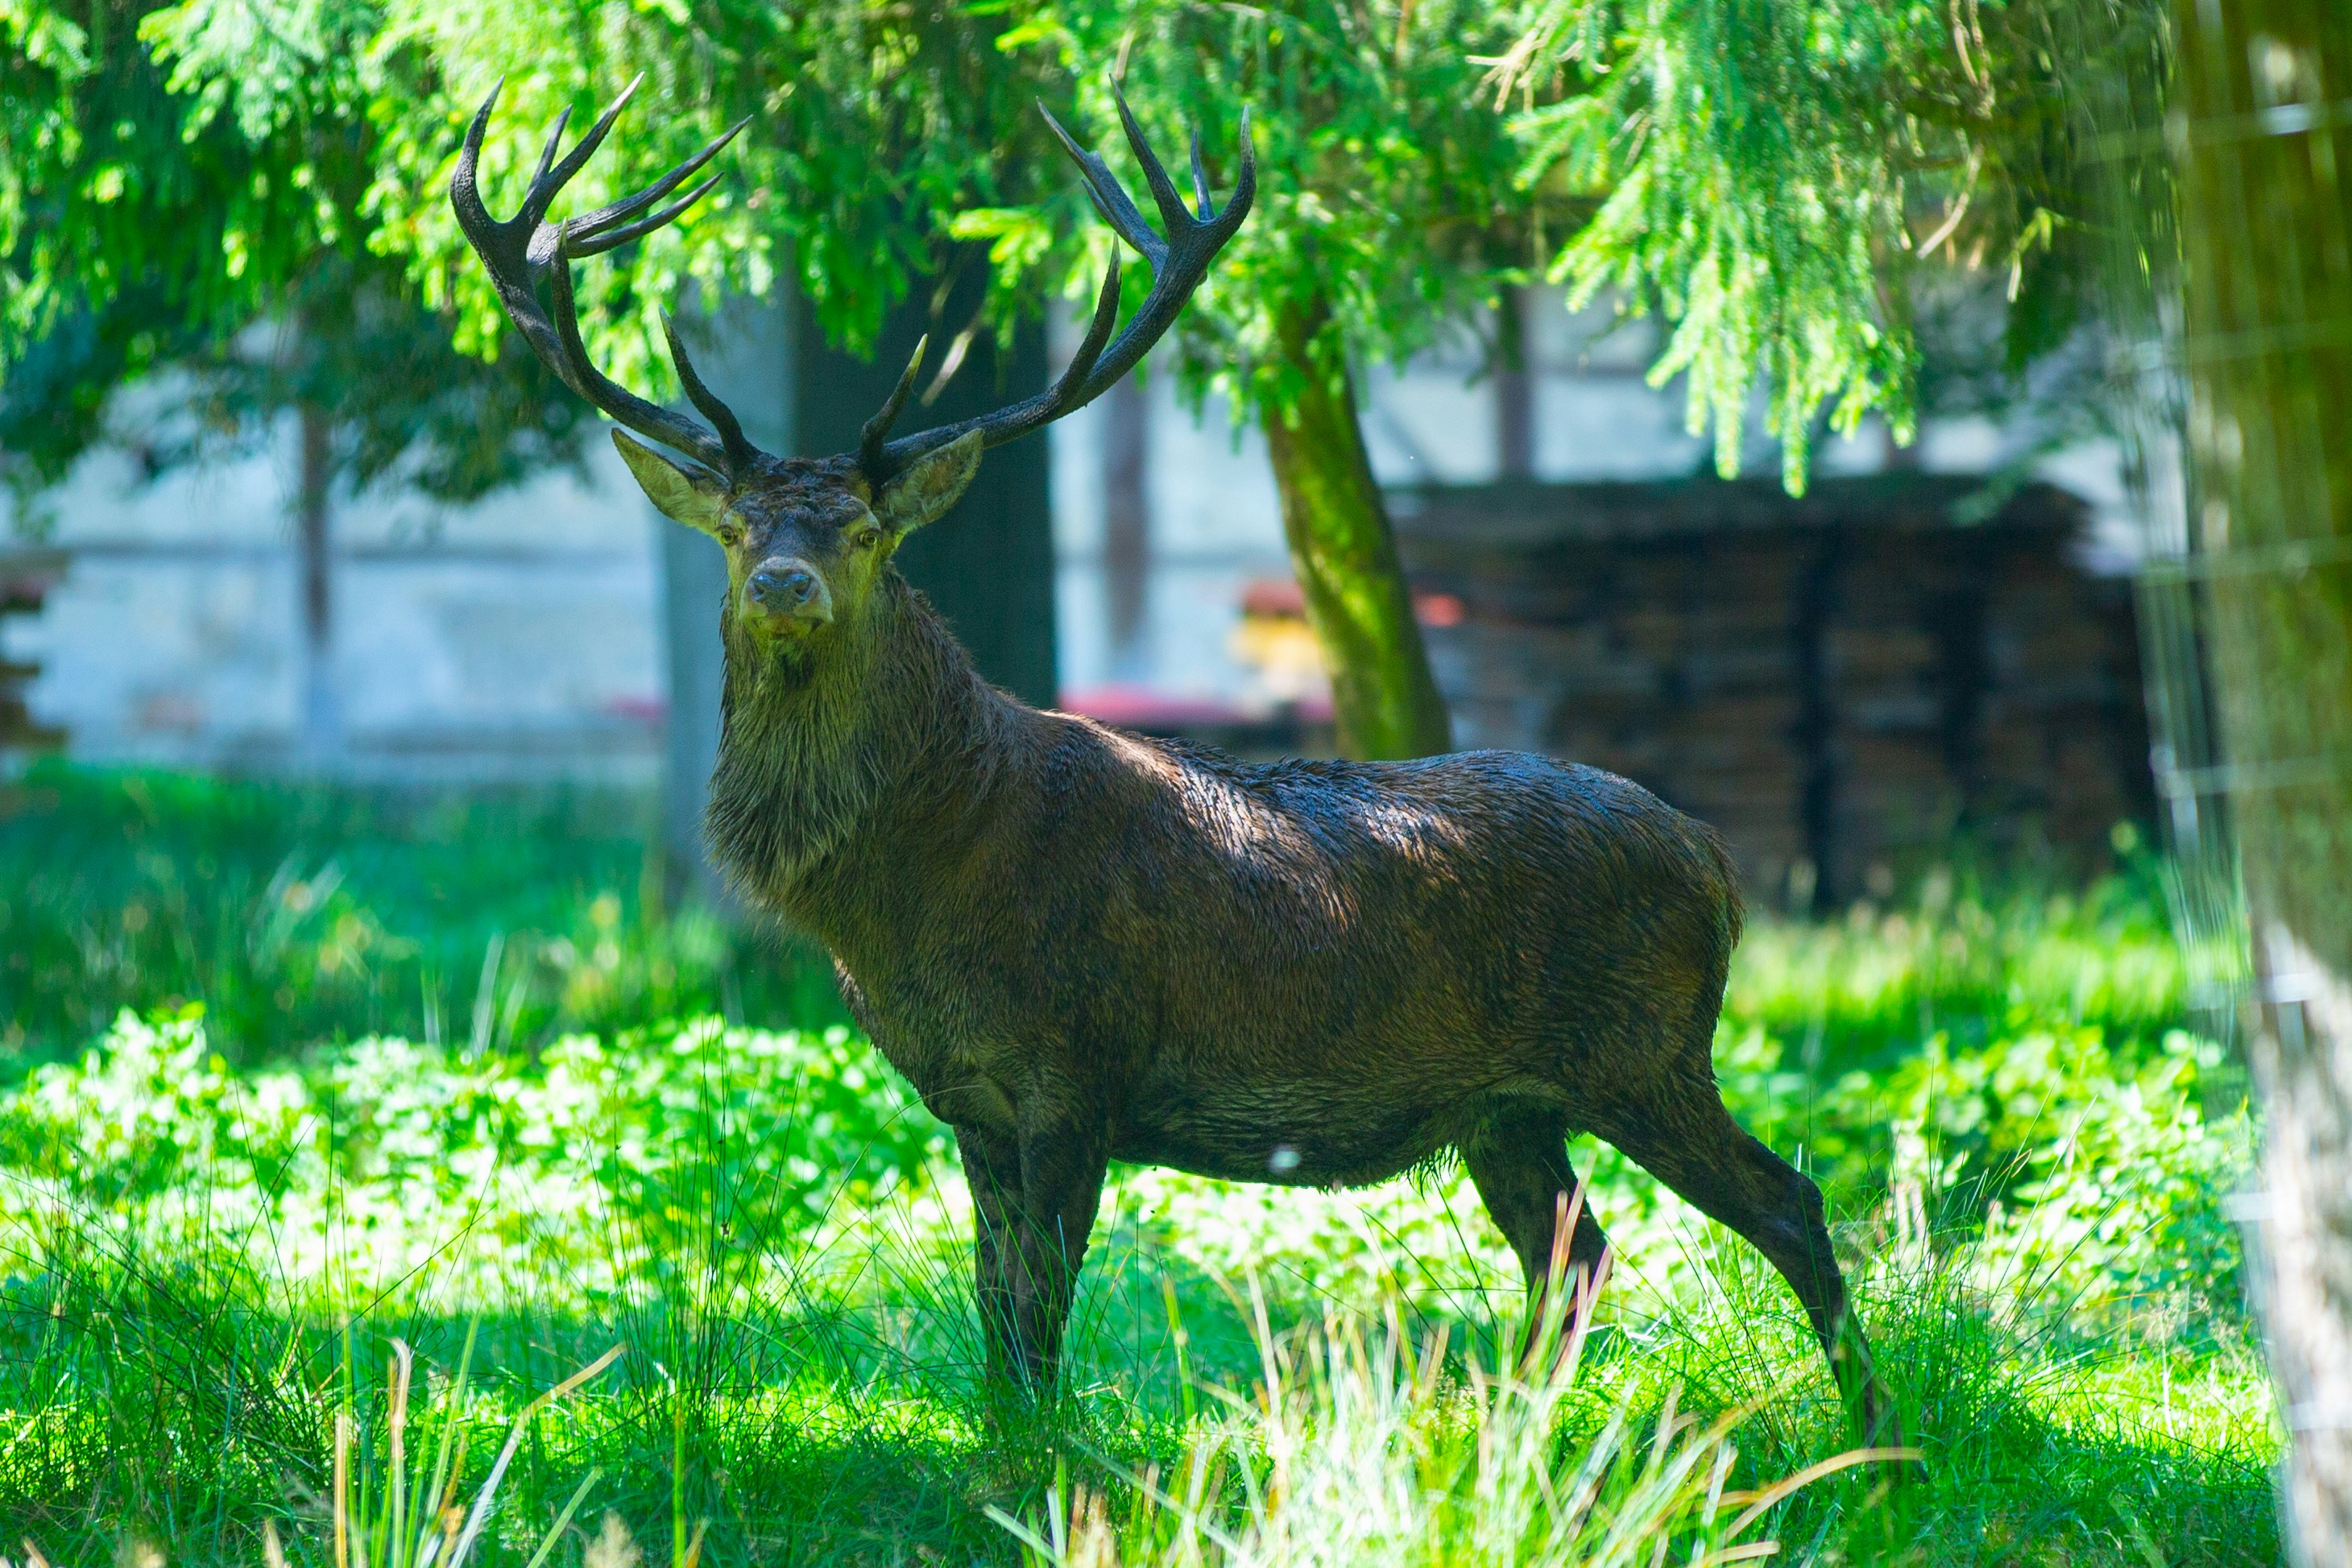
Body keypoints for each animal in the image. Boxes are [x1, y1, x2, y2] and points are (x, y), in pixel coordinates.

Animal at [451, 76, 1898, 1441]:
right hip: (1510, 1102)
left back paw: (1880, 1436)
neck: (904, 900)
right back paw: (1532, 1438)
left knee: (1789, 1200)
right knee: (1576, 1251)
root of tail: (1715, 861)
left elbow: (1042, 1313)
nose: (787, 585)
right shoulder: (968, 1099)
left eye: (866, 531)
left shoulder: (1075, 1065)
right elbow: (996, 1314)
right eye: (738, 528)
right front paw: (997, 1451)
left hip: (1641, 1046)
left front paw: (1039, 1467)